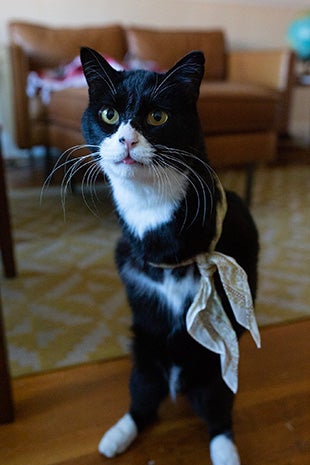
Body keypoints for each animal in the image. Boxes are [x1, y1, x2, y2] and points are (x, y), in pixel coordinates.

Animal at [80, 46, 260, 464]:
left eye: (157, 117)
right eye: (108, 115)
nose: (127, 140)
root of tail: (177, 380)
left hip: (212, 369)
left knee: (218, 412)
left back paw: (226, 451)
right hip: (145, 354)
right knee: (143, 401)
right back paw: (116, 436)